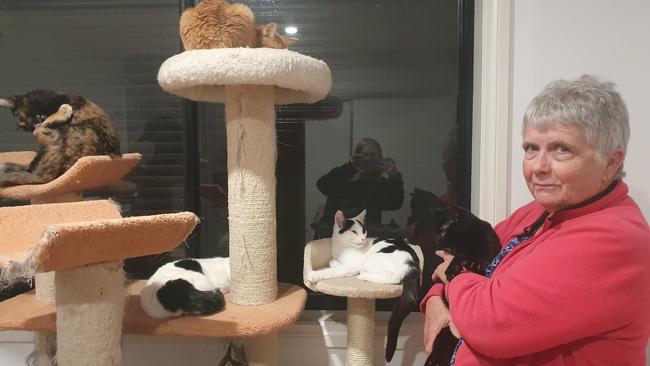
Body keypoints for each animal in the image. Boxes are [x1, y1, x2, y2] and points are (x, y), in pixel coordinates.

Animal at [306, 209, 420, 364]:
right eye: (354, 231)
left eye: (364, 231)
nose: (363, 239)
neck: (342, 248)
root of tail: (412, 263)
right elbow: (332, 261)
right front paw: (334, 262)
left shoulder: (351, 267)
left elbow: (332, 268)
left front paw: (315, 274)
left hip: (370, 260)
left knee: (393, 277)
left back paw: (363, 275)